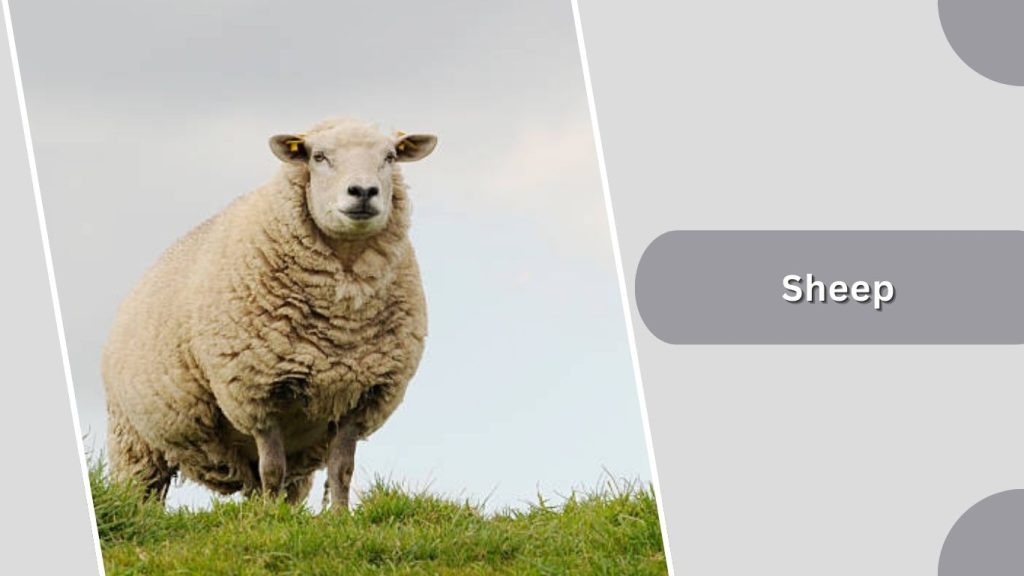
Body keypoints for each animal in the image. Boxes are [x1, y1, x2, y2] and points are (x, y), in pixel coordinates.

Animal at [101, 117, 437, 509]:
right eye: (318, 156)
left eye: (390, 157)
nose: (363, 191)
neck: (341, 323)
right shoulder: (255, 392)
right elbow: (272, 468)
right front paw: (272, 517)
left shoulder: (360, 395)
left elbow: (342, 469)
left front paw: (339, 515)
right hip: (135, 441)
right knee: (143, 493)